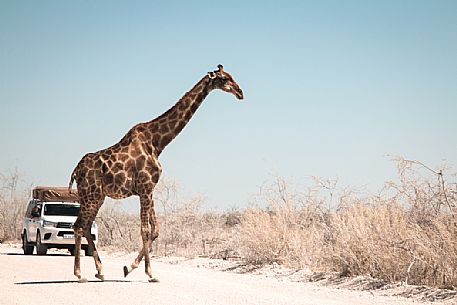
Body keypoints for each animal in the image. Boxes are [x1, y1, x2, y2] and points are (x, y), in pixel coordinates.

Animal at [67, 64, 242, 282]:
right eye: (224, 78)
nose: (240, 92)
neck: (158, 142)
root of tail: (76, 170)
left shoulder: (149, 189)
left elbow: (156, 230)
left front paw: (129, 267)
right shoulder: (145, 187)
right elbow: (145, 229)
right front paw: (148, 273)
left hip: (97, 197)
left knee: (86, 226)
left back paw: (100, 271)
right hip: (90, 195)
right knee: (79, 226)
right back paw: (79, 273)